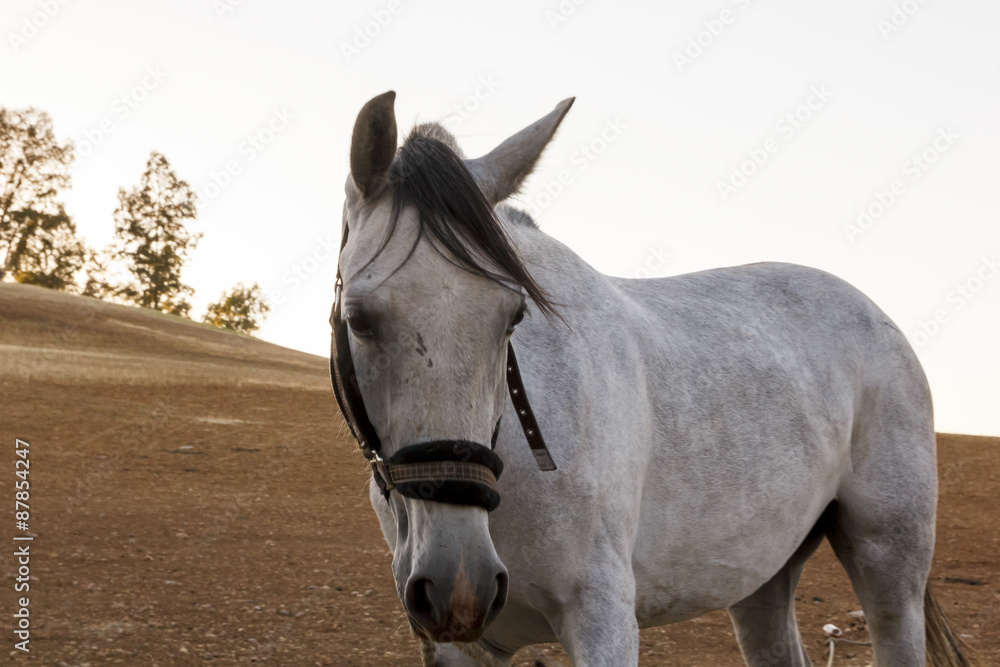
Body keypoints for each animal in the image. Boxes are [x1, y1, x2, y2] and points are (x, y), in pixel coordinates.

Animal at [330, 91, 973, 666]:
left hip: (889, 567)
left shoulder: (603, 618)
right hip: (762, 577)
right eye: (359, 319)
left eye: (513, 316)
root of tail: (878, 315)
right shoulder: (461, 644)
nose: (461, 583)